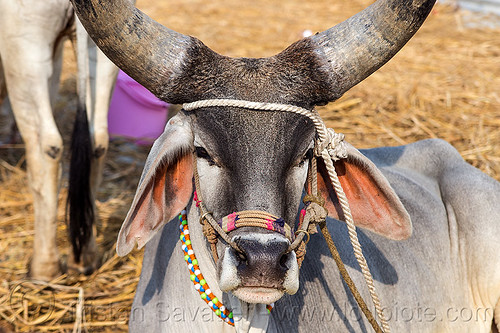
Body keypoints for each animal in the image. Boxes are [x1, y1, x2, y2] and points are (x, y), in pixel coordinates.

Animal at [0, 0, 118, 280]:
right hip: (103, 52)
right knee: (97, 140)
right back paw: (84, 259)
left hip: (26, 49)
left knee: (47, 146)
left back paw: (44, 268)